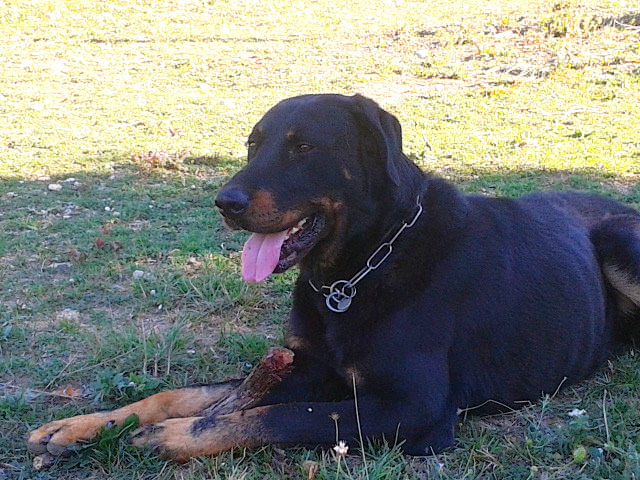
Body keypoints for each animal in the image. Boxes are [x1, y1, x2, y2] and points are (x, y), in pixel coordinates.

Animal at [27, 94, 640, 462]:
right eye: (253, 144)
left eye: (303, 148)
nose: (225, 203)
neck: (357, 271)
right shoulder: (303, 365)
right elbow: (184, 393)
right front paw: (82, 425)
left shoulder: (412, 406)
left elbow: (279, 416)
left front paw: (176, 436)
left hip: (618, 242)